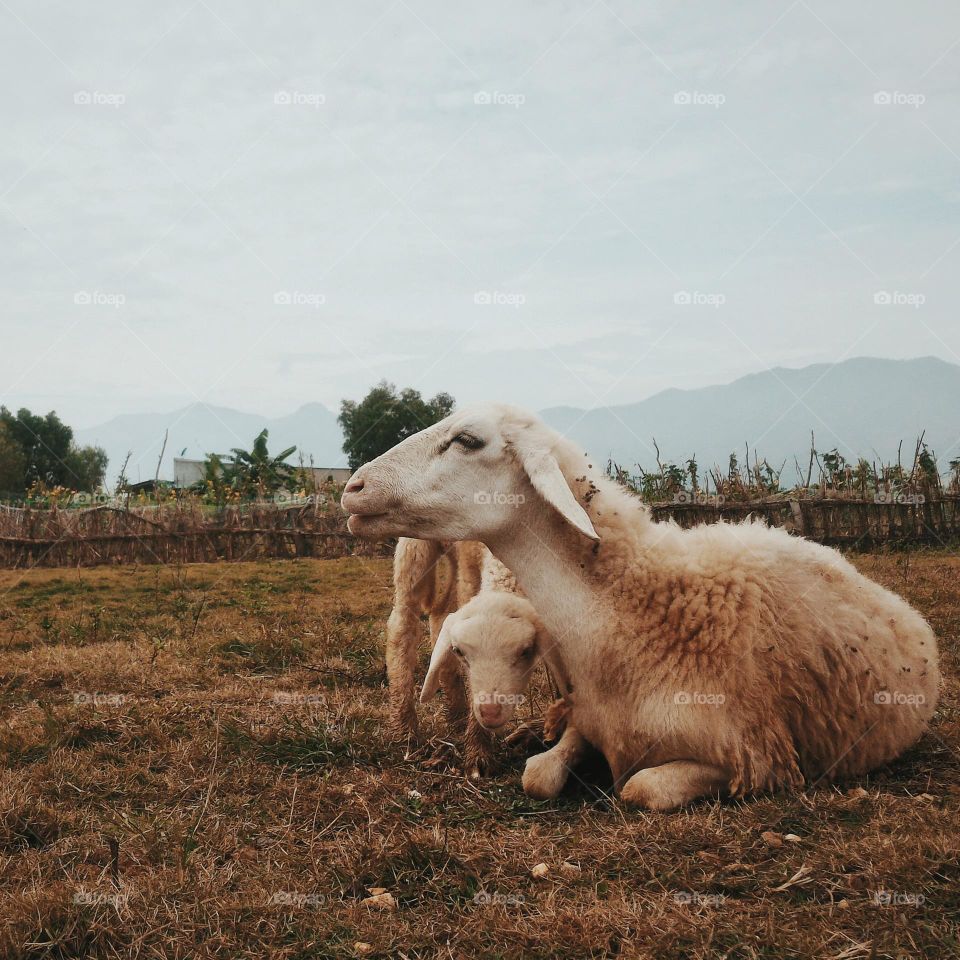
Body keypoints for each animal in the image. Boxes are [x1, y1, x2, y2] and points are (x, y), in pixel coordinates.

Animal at [342, 403, 940, 810]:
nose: (353, 487)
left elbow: (639, 788)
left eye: (467, 439)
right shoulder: (589, 719)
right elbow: (539, 775)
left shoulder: (753, 758)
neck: (633, 612)